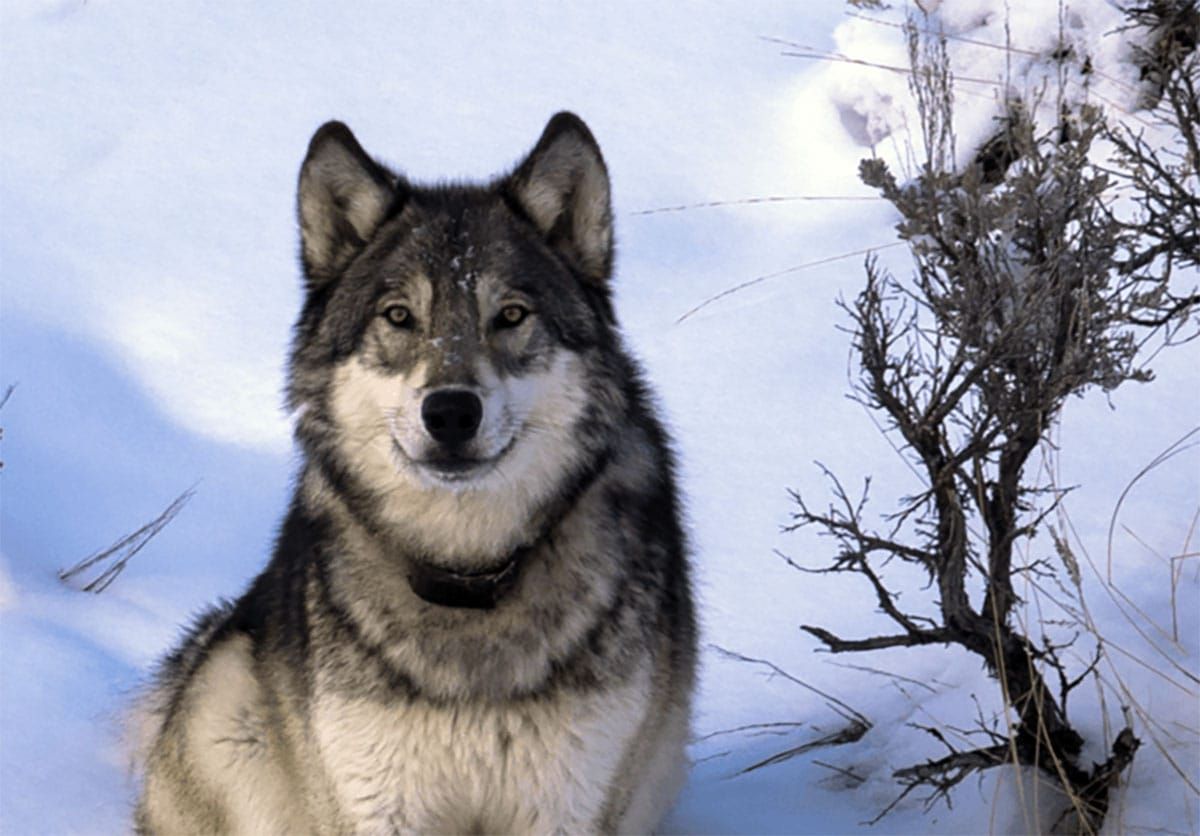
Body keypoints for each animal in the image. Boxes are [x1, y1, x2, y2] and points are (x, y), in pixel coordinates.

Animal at [133, 112, 696, 835]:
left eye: (511, 315)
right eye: (399, 316)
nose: (451, 411)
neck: (470, 577)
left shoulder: (569, 802)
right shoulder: (379, 802)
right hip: (228, 696)